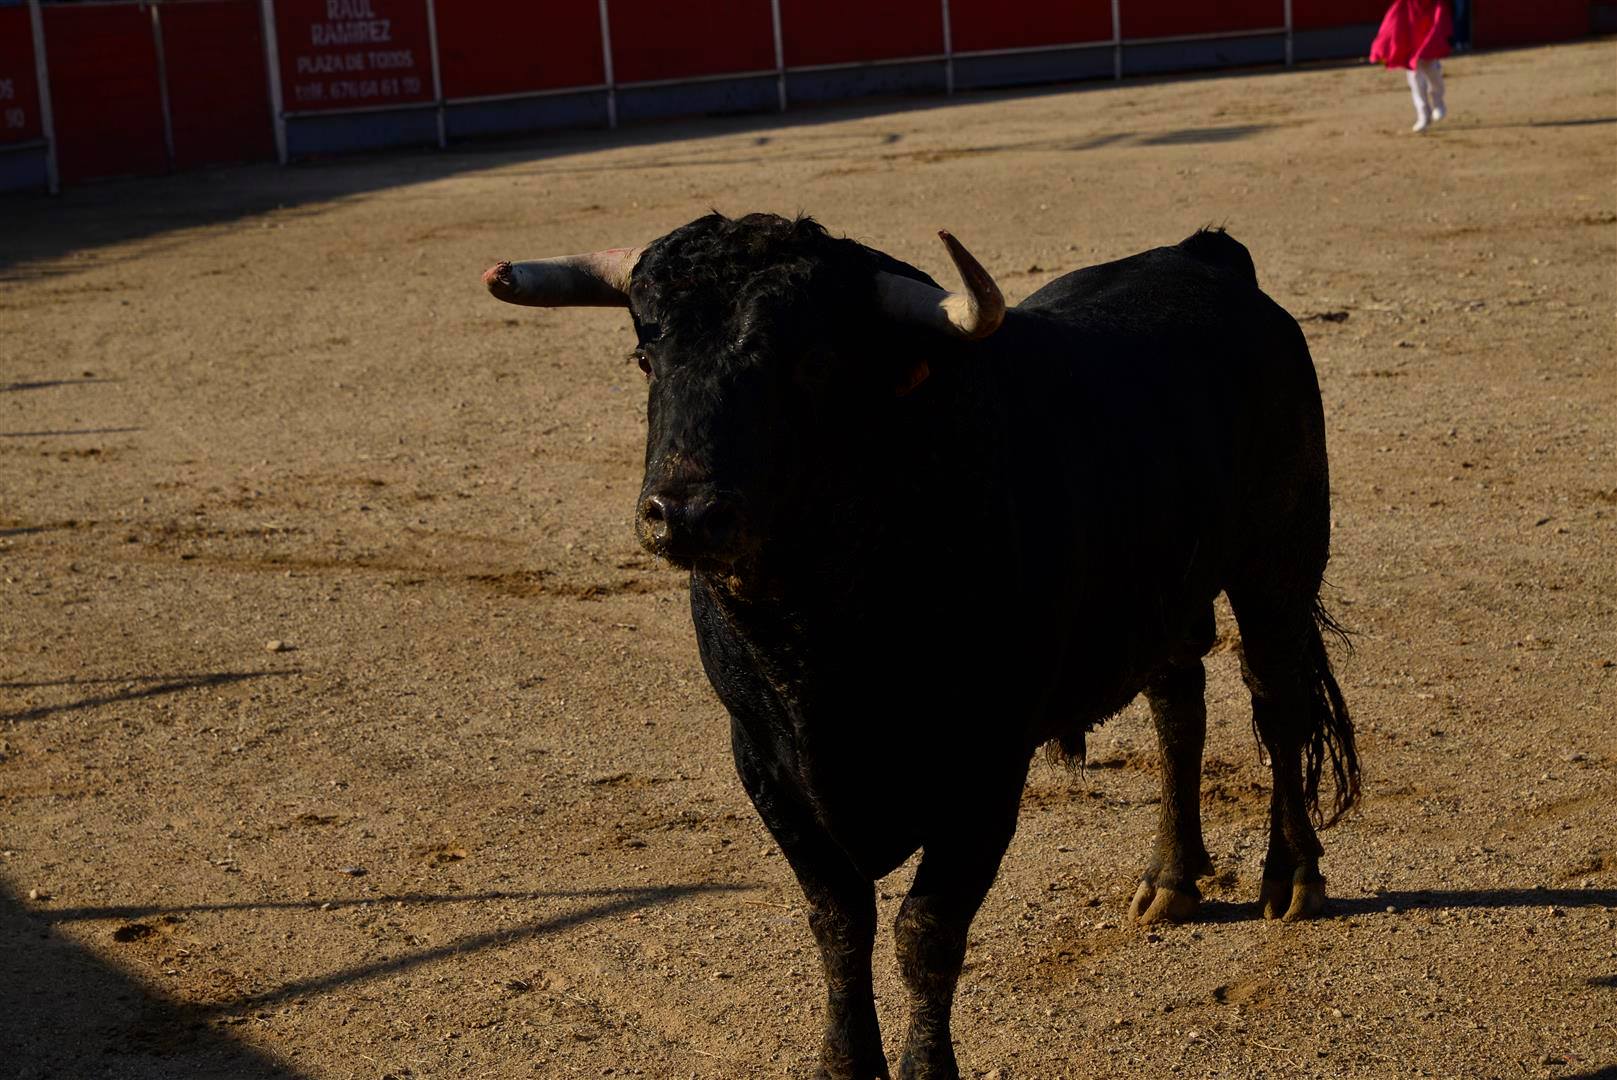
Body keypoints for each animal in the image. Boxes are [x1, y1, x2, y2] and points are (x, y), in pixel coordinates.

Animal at [485, 213, 1358, 1080]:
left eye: (812, 361)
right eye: (646, 356)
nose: (685, 514)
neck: (822, 641)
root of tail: (1205, 255)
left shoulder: (986, 767)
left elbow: (926, 931)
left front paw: (923, 1069)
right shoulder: (762, 760)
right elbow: (838, 919)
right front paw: (843, 1064)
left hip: (1276, 567)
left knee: (1278, 705)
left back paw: (1292, 878)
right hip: (1162, 597)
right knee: (1178, 706)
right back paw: (1170, 881)